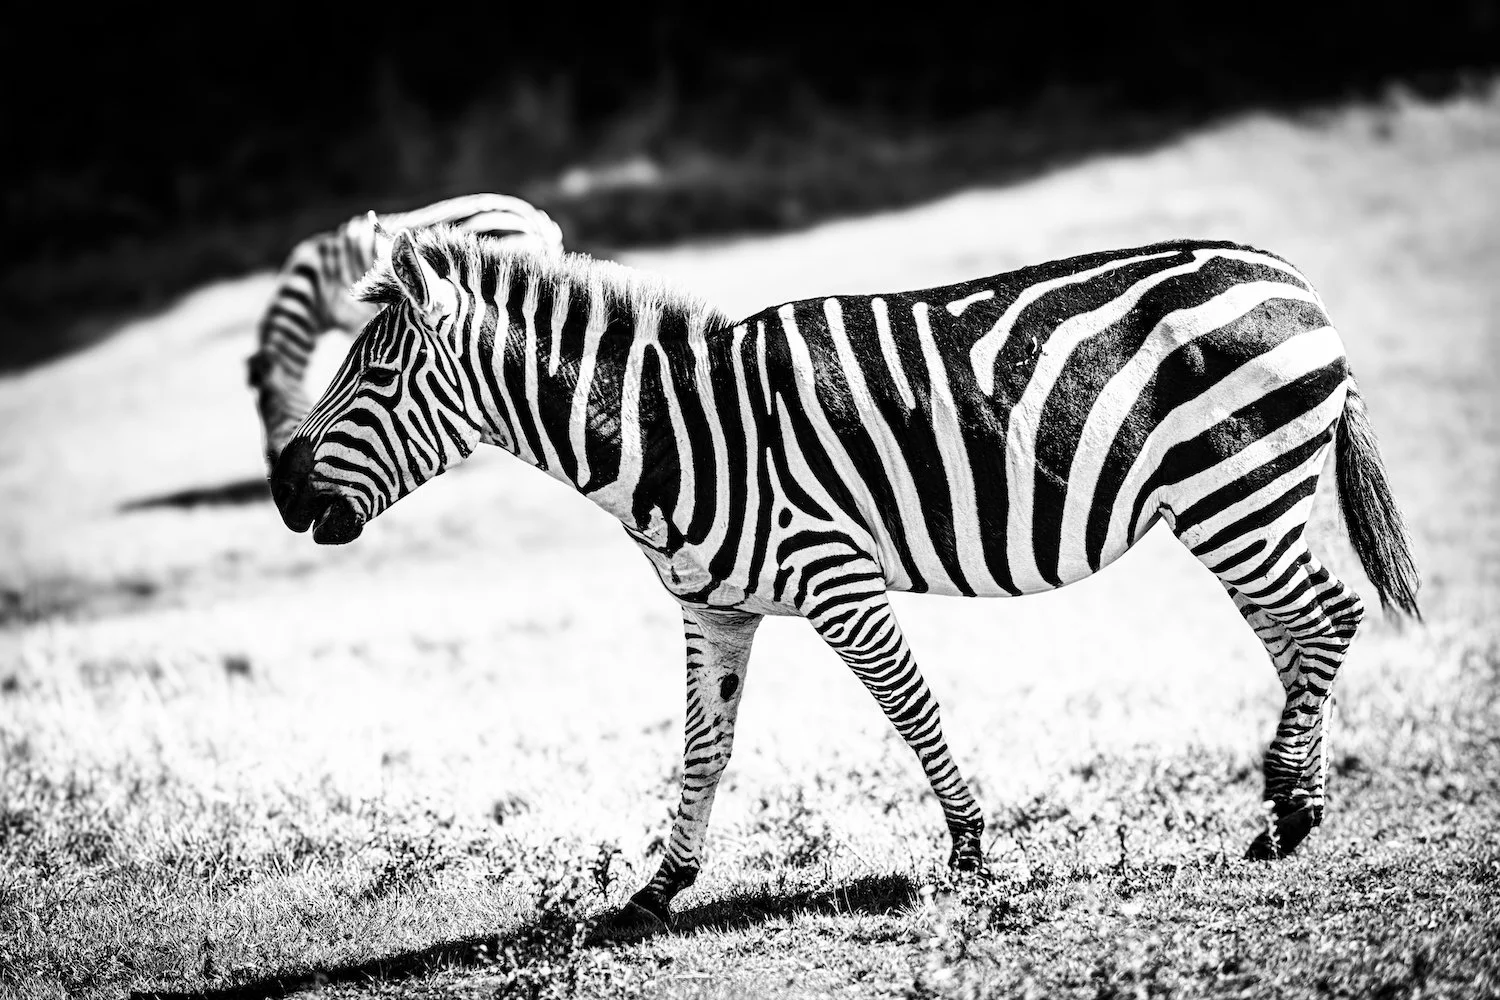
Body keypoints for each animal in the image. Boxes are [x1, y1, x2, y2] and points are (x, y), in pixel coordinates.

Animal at [270, 225, 1420, 928]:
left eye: (376, 372)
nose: (280, 488)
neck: (680, 436)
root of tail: (1287, 275)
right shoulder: (712, 607)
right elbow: (705, 747)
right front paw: (657, 891)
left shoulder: (837, 581)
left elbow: (912, 709)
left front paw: (971, 853)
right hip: (1235, 503)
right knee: (1297, 634)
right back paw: (1295, 809)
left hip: (1237, 489)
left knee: (1327, 615)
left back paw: (1287, 811)